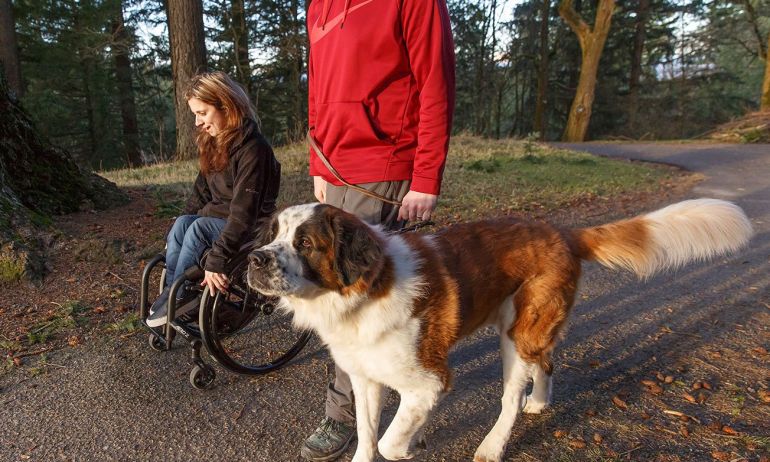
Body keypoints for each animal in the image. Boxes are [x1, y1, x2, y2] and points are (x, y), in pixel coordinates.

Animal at [244, 200, 752, 462]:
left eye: (304, 243)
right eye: (272, 236)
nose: (254, 257)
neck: (361, 292)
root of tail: (561, 233)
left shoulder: (430, 380)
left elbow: (388, 441)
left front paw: (410, 444)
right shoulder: (366, 378)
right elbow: (368, 437)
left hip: (516, 335)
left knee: (510, 397)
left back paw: (493, 444)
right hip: (528, 331)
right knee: (547, 360)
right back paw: (541, 401)